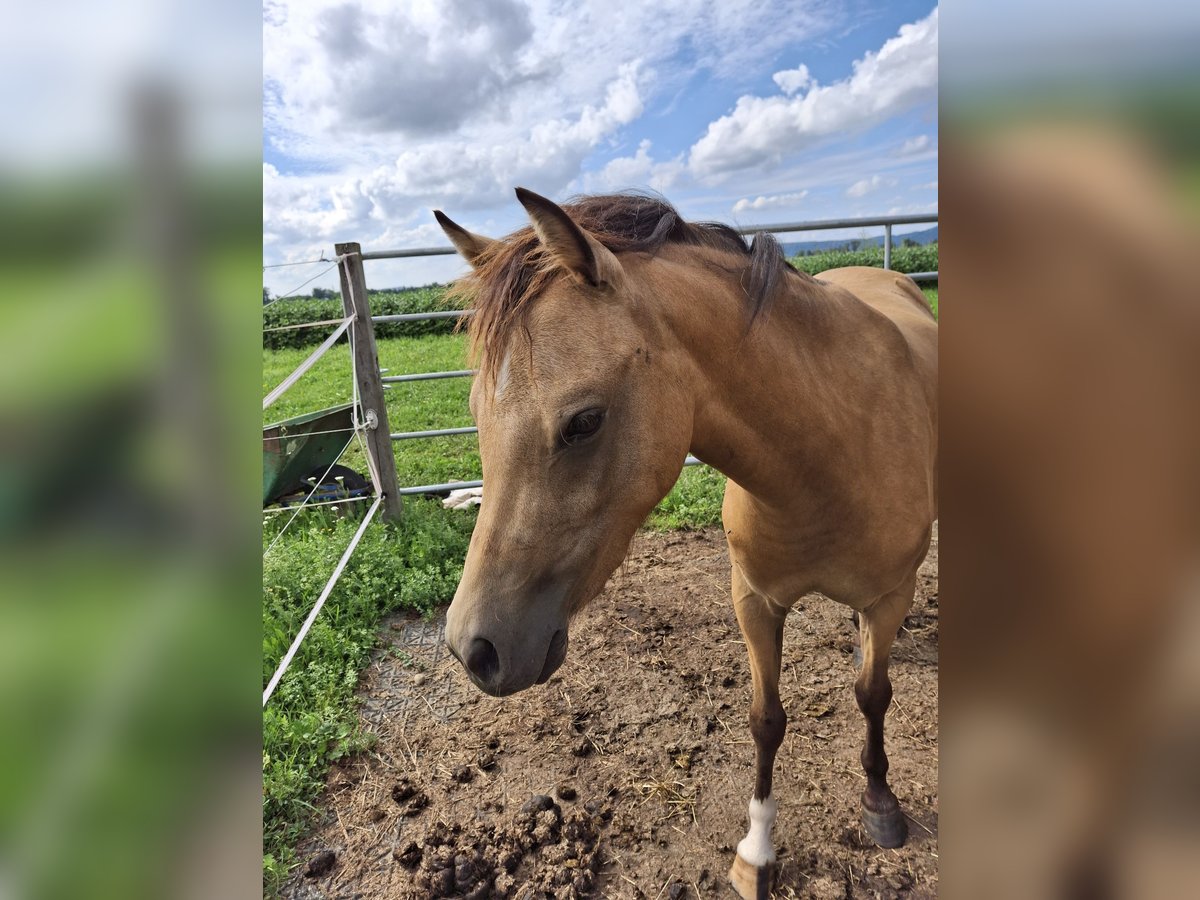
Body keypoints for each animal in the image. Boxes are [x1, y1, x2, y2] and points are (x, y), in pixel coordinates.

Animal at [434, 187, 936, 897]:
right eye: (476, 412)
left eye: (584, 422)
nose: (473, 649)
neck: (831, 451)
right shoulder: (755, 600)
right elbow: (766, 719)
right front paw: (756, 851)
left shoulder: (890, 597)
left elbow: (872, 696)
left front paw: (880, 803)